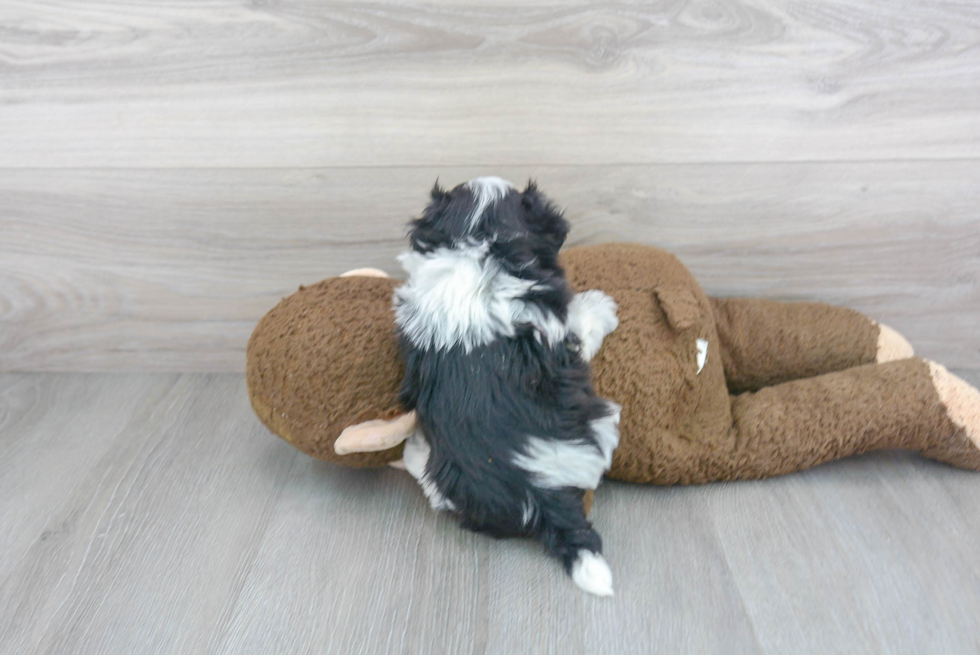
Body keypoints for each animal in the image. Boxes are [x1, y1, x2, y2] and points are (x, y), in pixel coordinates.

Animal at [392, 177, 616, 596]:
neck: (478, 246)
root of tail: (544, 498)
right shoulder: (558, 329)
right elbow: (582, 325)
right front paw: (602, 307)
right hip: (600, 423)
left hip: (454, 481)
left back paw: (414, 453)